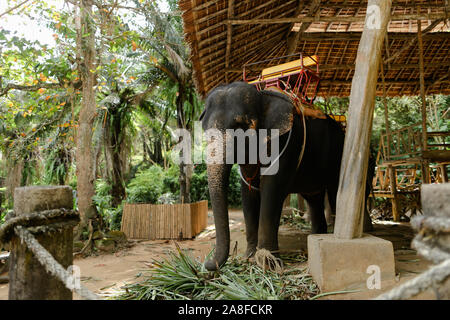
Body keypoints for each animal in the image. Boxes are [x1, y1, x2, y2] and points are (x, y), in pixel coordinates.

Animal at [200, 82, 372, 270]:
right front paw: (250, 257)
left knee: (336, 192)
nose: (207, 262)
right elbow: (248, 192)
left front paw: (268, 263)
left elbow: (272, 188)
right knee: (314, 197)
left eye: (241, 125)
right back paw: (316, 236)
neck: (262, 96)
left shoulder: (288, 142)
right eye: (204, 130)